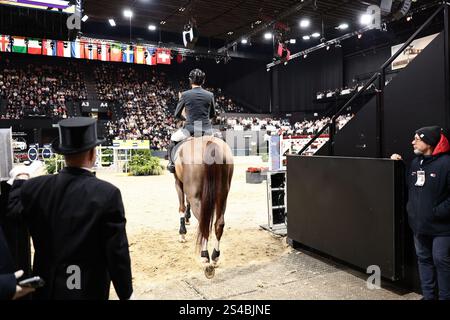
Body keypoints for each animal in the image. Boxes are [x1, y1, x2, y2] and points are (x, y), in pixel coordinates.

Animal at [174, 135, 234, 278]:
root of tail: (210, 143)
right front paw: (187, 218)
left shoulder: (178, 182)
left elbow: (181, 206)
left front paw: (182, 233)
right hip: (222, 195)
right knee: (219, 224)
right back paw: (215, 257)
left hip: (195, 195)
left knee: (204, 223)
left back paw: (205, 256)